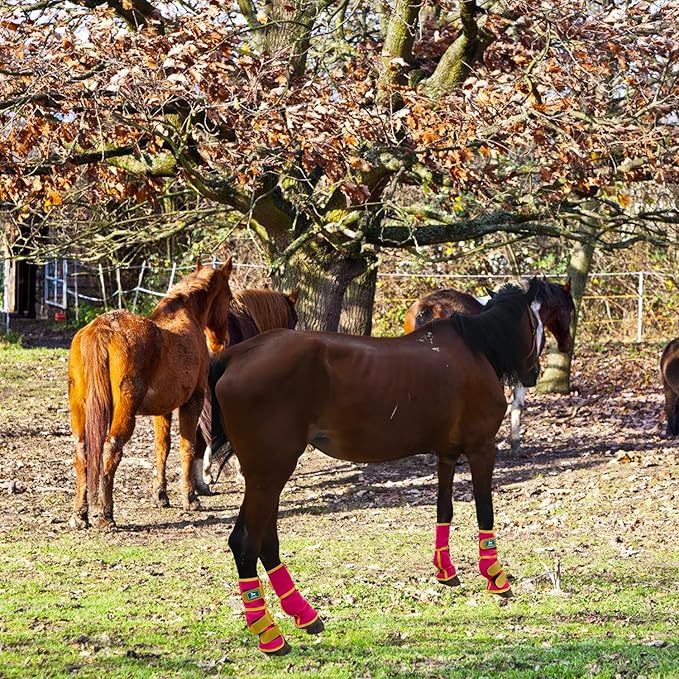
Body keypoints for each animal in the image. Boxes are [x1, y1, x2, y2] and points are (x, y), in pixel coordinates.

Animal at [67, 259, 233, 529]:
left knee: (82, 451)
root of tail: (103, 327)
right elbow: (187, 446)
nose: (221, 341)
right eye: (228, 297)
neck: (184, 316)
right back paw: (106, 515)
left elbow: (161, 448)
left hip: (80, 410)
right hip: (125, 411)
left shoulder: (162, 410)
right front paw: (190, 498)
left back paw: (80, 515)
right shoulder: (193, 402)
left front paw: (161, 495)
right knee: (112, 449)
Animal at [213, 279, 542, 655]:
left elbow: (444, 509)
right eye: (535, 323)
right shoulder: (481, 449)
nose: (534, 374)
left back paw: (304, 614)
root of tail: (235, 355)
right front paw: (496, 576)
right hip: (269, 474)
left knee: (266, 542)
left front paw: (445, 571)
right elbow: (484, 512)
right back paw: (268, 632)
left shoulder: (446, 454)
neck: (474, 348)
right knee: (245, 543)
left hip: (267, 475)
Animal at [404, 277, 574, 452]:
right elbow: (516, 405)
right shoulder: (521, 371)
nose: (566, 344)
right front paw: (514, 443)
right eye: (569, 310)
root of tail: (428, 308)